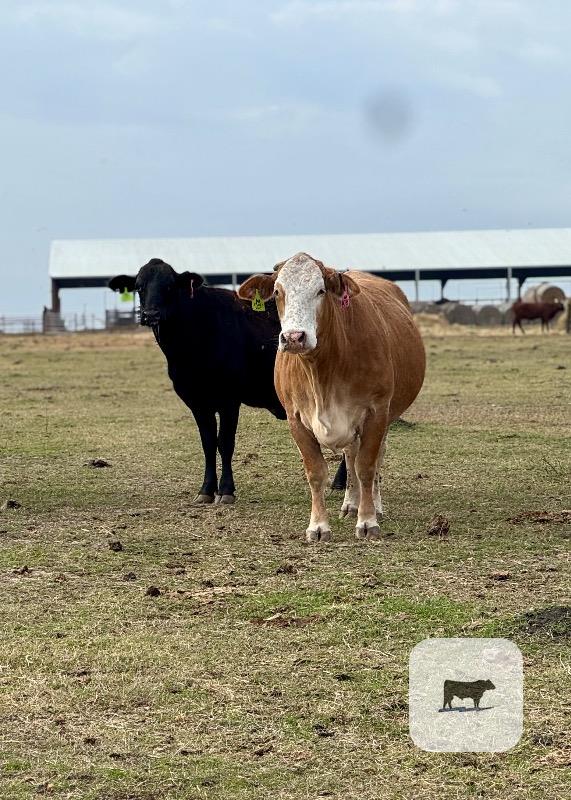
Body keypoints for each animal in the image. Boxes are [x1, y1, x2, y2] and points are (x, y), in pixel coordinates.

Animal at [109, 258, 346, 504]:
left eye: (169, 286)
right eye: (139, 287)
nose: (151, 314)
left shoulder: (229, 400)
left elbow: (225, 443)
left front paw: (225, 490)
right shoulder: (197, 401)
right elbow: (208, 444)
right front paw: (206, 489)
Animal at [238, 252, 425, 542]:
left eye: (320, 290)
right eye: (278, 292)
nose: (294, 337)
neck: (323, 371)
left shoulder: (376, 413)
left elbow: (367, 467)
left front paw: (368, 521)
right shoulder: (296, 419)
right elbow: (317, 472)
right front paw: (318, 526)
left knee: (374, 459)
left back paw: (374, 505)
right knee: (350, 455)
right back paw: (350, 504)